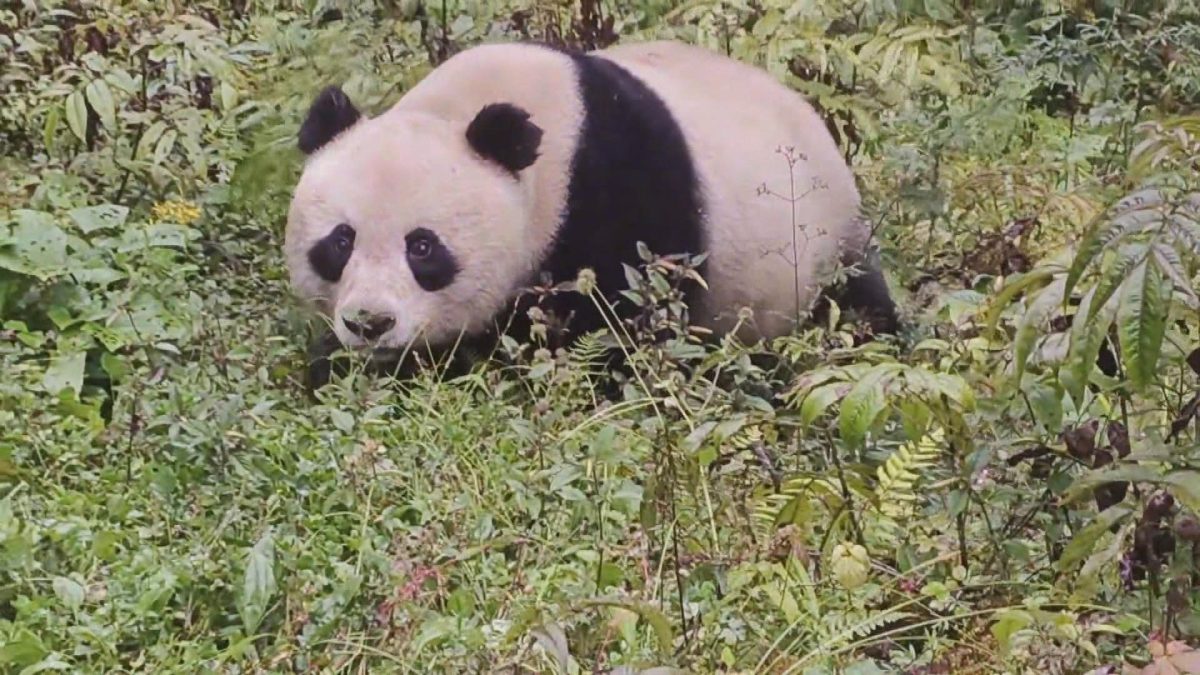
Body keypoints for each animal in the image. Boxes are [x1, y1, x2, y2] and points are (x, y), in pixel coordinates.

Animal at [285, 40, 899, 389]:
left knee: (856, 308)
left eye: (422, 247)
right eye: (340, 242)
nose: (370, 323)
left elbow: (619, 328)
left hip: (820, 249)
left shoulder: (618, 197)